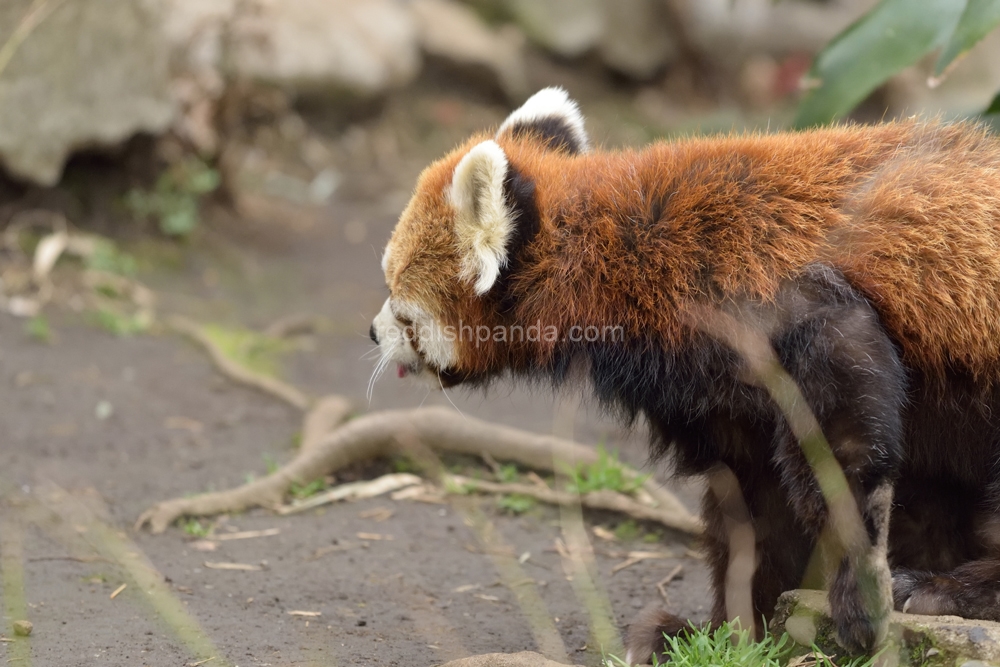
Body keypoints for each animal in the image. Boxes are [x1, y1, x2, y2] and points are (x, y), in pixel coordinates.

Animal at [370, 87, 1000, 664]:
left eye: (397, 297)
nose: (372, 334)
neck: (610, 260)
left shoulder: (785, 309)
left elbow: (843, 447)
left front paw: (860, 601)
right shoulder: (721, 402)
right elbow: (754, 509)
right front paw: (731, 632)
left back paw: (953, 588)